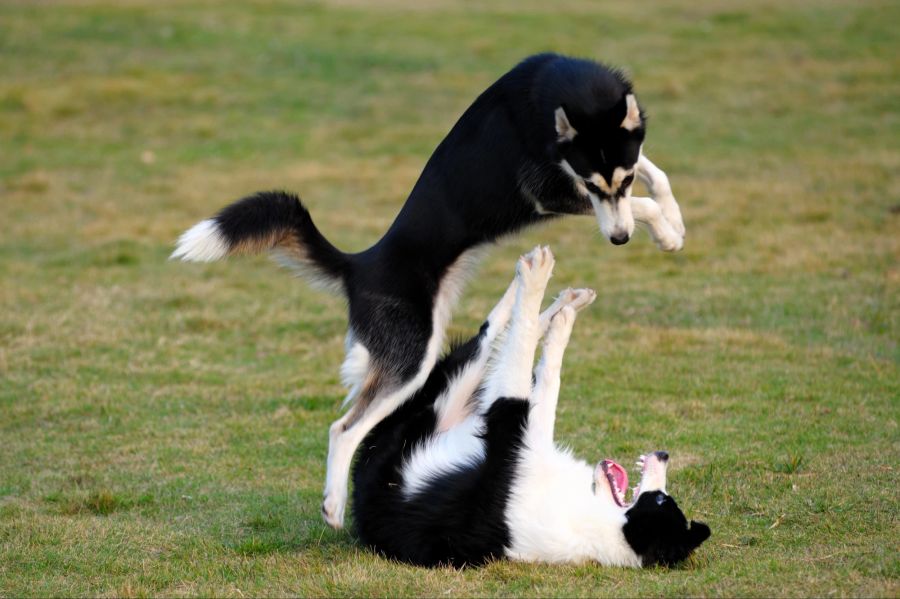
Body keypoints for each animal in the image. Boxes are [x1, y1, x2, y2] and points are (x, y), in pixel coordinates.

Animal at [172, 54, 684, 528]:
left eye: (621, 177)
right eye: (594, 185)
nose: (619, 241)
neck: (564, 87)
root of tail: (360, 264)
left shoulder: (617, 163)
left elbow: (654, 174)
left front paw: (673, 223)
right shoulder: (548, 190)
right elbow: (639, 203)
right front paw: (662, 227)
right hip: (410, 361)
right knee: (344, 428)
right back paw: (334, 505)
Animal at [352, 247, 712, 568]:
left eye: (662, 499)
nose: (663, 454)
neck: (600, 524)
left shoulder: (509, 424)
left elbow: (523, 364)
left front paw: (540, 286)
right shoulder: (529, 434)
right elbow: (549, 378)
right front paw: (563, 322)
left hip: (441, 401)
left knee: (494, 339)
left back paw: (534, 278)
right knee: (495, 337)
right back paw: (566, 300)